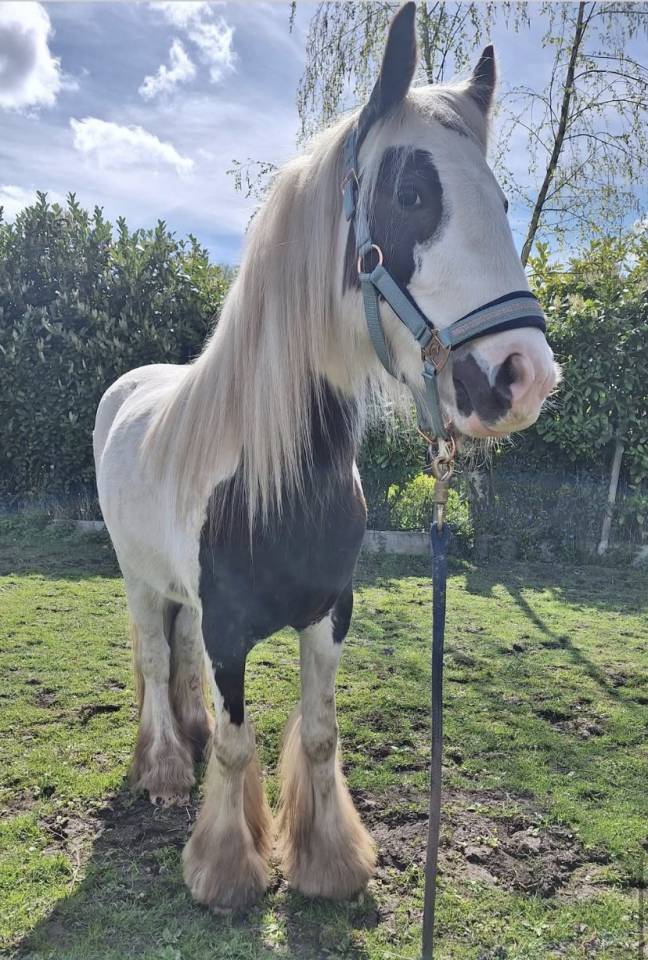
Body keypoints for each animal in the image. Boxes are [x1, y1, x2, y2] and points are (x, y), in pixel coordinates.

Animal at [93, 2, 558, 913]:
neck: (275, 475)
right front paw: (227, 871)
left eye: (502, 200)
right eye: (412, 194)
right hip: (137, 578)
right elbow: (239, 744)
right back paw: (164, 769)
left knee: (179, 659)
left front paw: (328, 862)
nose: (524, 376)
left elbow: (316, 732)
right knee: (157, 658)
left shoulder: (329, 613)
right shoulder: (232, 630)